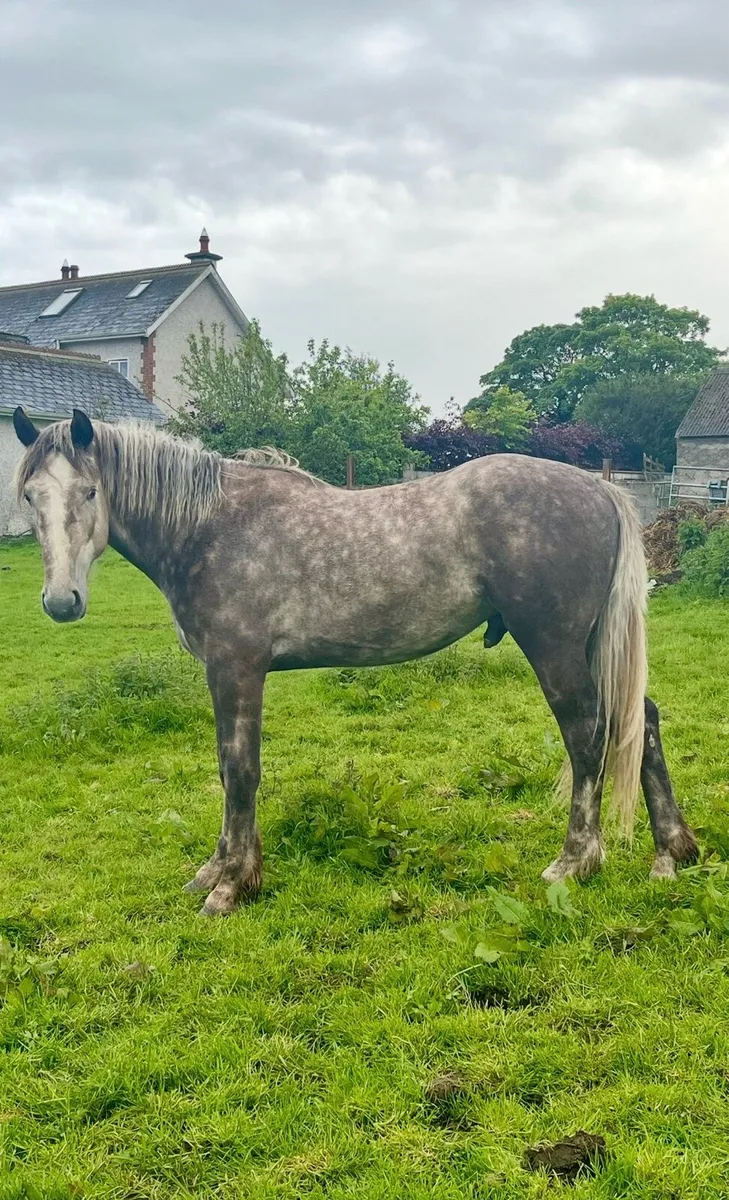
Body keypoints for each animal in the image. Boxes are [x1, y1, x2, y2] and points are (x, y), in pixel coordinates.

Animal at [12, 406, 698, 915]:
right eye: (29, 496)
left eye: (91, 491)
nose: (62, 601)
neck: (210, 526)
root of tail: (597, 487)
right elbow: (230, 770)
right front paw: (216, 870)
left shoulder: (235, 668)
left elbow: (240, 771)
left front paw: (231, 884)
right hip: (590, 648)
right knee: (640, 721)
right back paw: (672, 852)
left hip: (554, 647)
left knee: (588, 736)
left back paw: (576, 861)